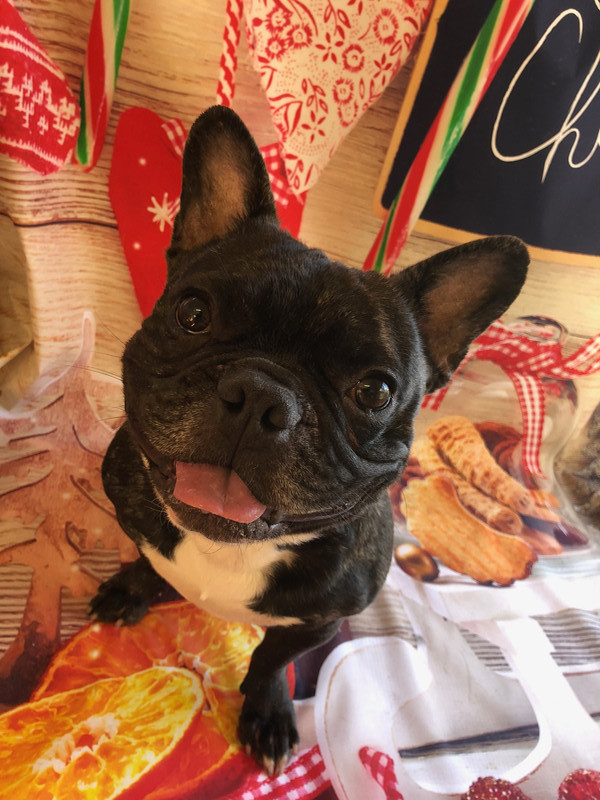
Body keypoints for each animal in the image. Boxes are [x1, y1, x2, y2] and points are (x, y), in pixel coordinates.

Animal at [90, 105, 529, 775]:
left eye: (375, 390)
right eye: (193, 314)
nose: (260, 395)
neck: (228, 550)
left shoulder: (320, 621)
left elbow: (272, 659)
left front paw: (267, 715)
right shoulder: (133, 516)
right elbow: (144, 559)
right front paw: (129, 589)